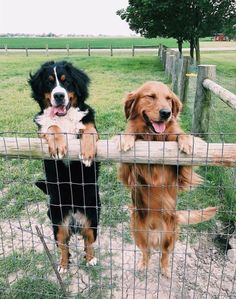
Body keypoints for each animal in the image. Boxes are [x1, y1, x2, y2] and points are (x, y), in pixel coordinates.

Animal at [28, 61, 100, 274]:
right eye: (49, 82)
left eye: (66, 81)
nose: (59, 95)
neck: (64, 118)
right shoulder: (42, 133)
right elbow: (52, 127)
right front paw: (59, 145)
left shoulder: (90, 124)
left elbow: (88, 129)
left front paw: (87, 152)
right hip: (57, 219)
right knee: (63, 245)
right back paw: (62, 265)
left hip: (92, 215)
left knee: (88, 241)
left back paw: (90, 259)